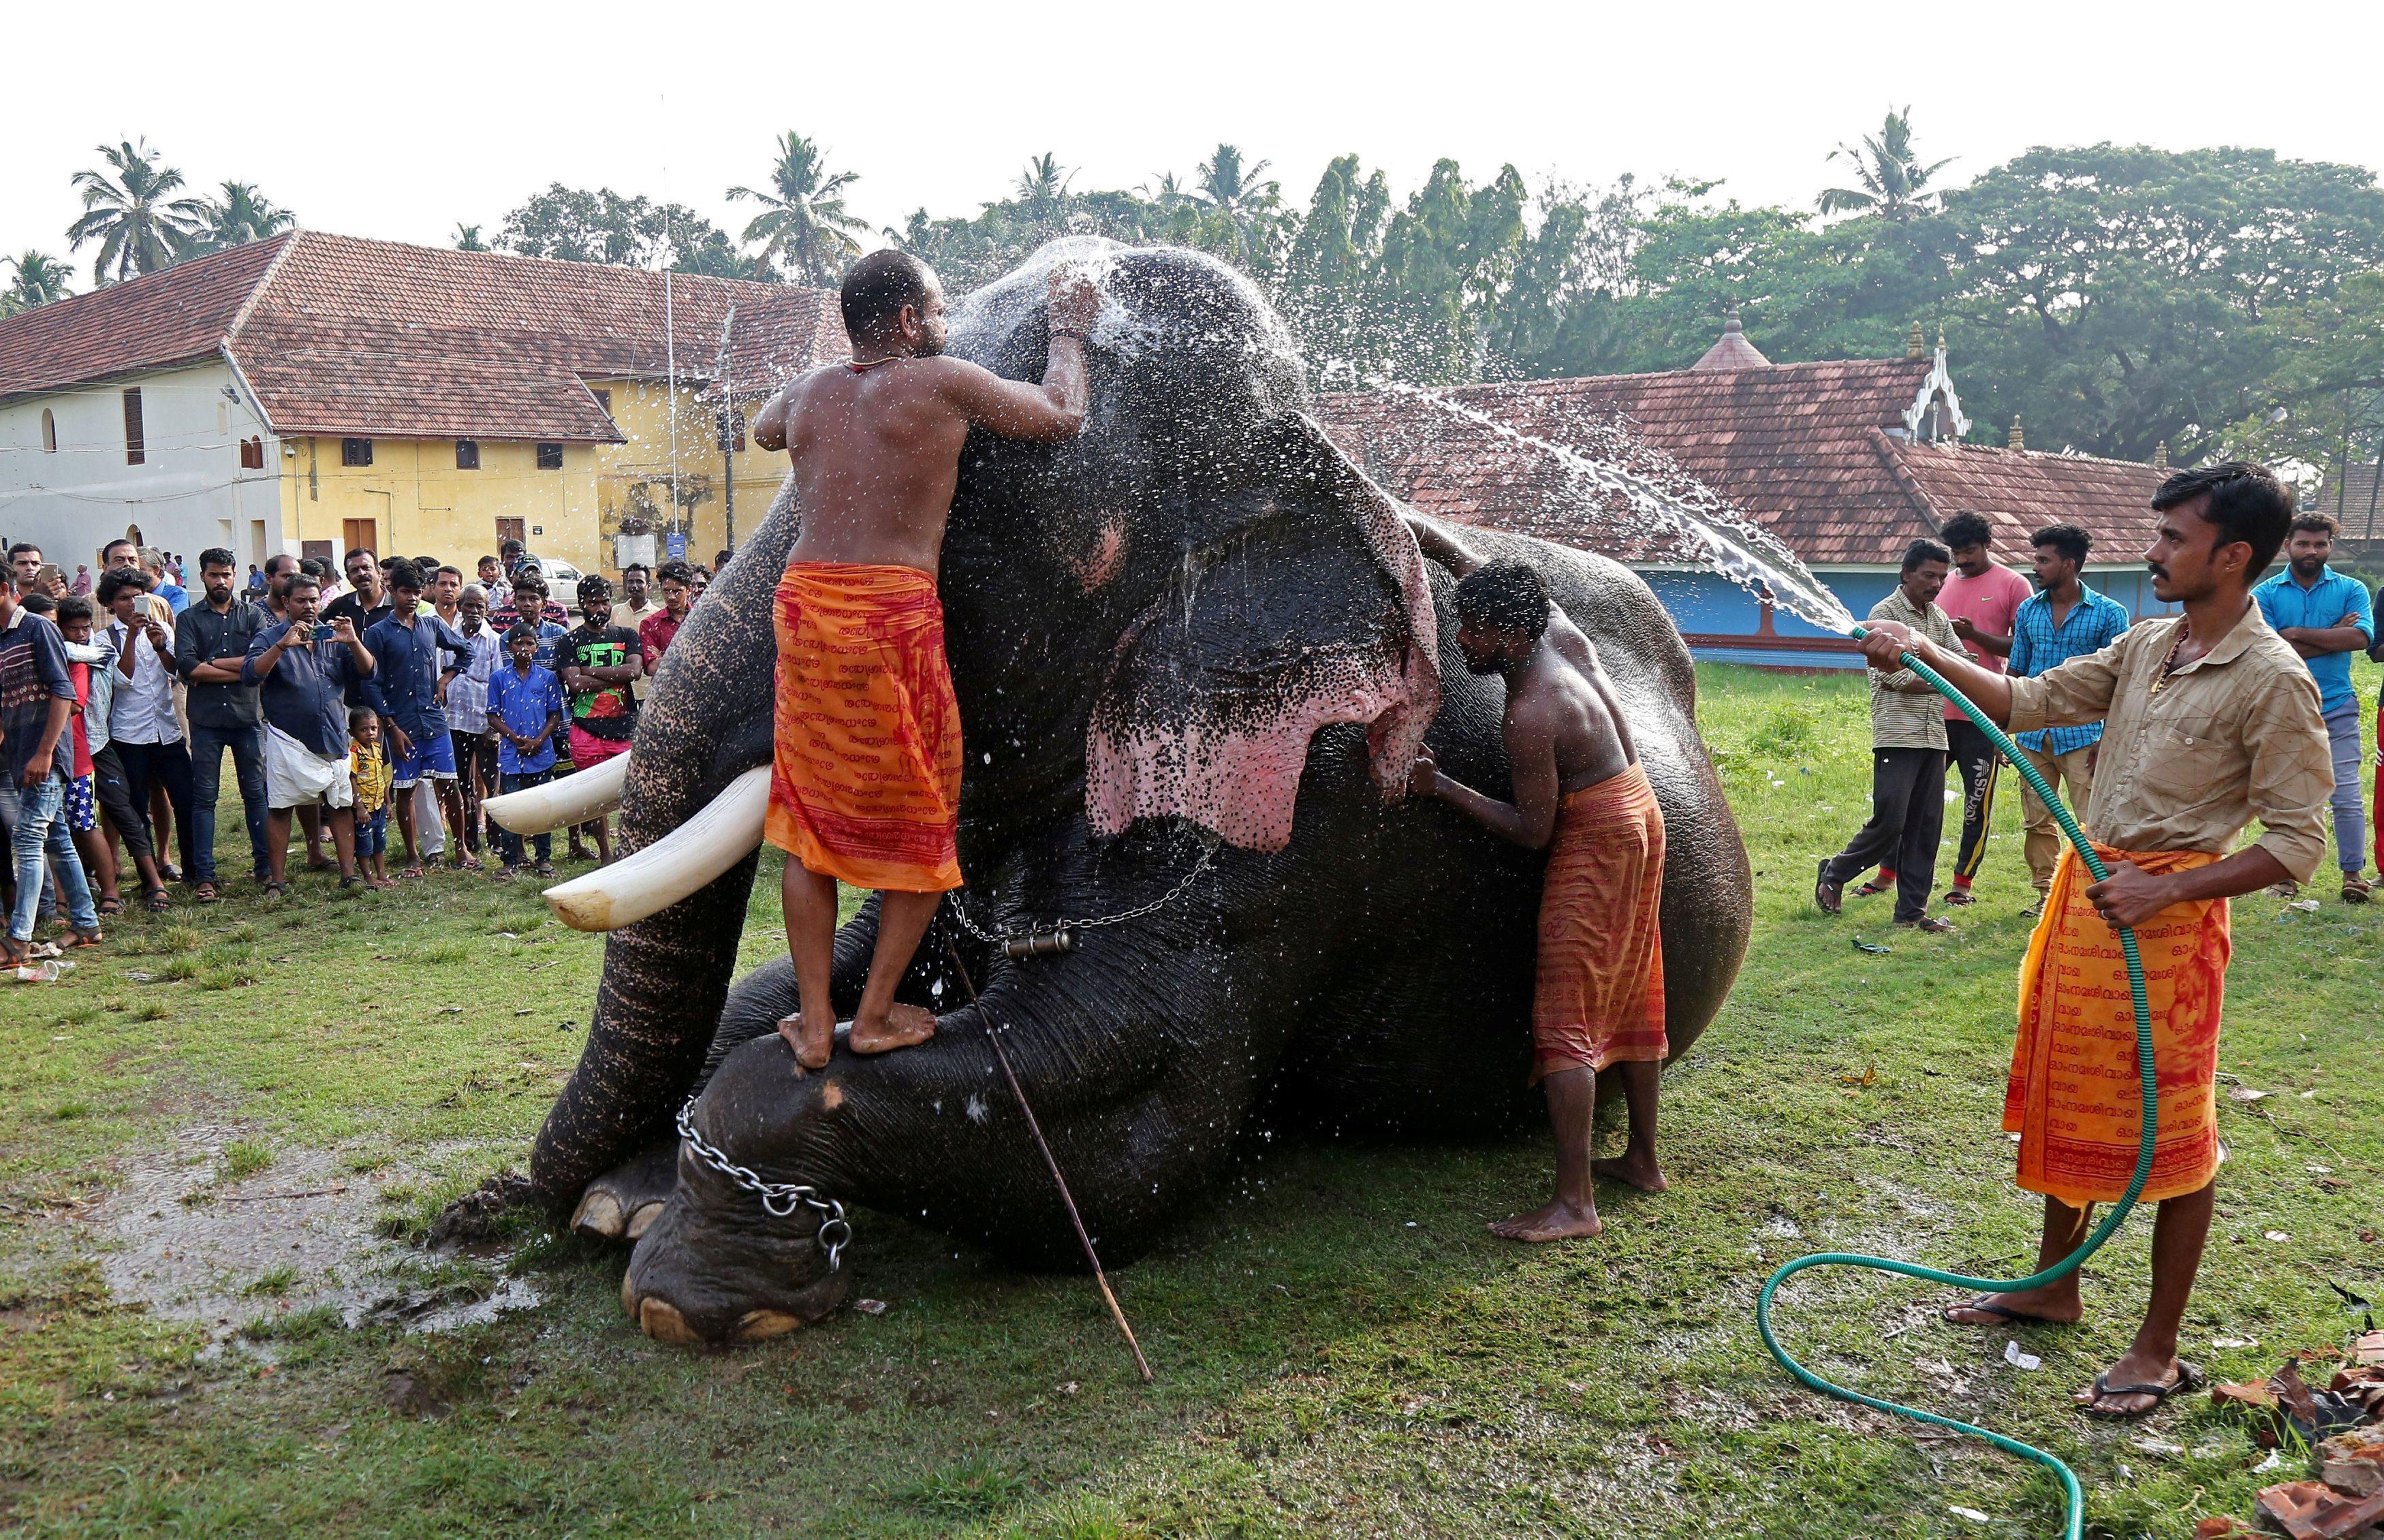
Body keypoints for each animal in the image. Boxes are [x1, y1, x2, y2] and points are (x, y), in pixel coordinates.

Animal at [484, 240, 1755, 1354]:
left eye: (956, 514)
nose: (497, 1204)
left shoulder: (1300, 811)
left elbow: (1124, 1133)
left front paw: (692, 1290)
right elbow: (805, 987)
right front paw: (626, 1202)